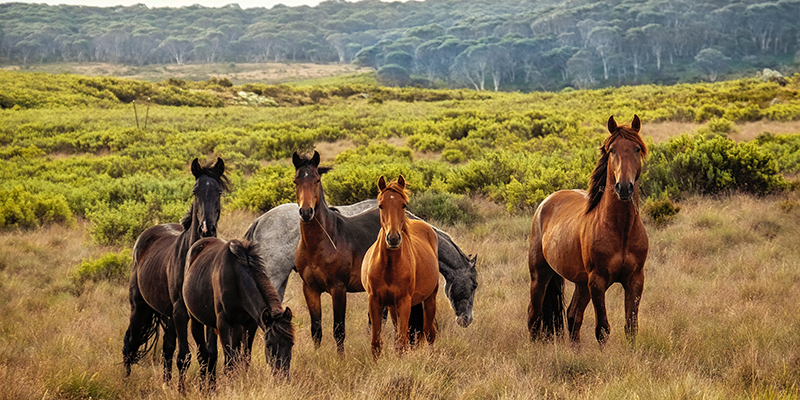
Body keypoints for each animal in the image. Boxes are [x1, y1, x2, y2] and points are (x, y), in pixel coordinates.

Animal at [183, 238, 296, 384]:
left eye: (291, 344)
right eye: (269, 345)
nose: (282, 378)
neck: (236, 278)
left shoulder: (250, 324)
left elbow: (244, 358)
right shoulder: (223, 324)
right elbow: (230, 361)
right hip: (196, 321)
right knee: (202, 355)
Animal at [290, 150, 384, 354]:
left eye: (317, 180)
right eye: (295, 181)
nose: (306, 212)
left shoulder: (338, 289)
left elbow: (339, 329)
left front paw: (341, 359)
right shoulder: (310, 289)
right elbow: (316, 329)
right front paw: (317, 356)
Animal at [360, 177, 438, 358]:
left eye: (403, 205)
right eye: (381, 205)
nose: (393, 238)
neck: (389, 266)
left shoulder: (404, 302)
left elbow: (402, 342)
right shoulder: (375, 301)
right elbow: (376, 343)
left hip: (430, 299)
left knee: (429, 332)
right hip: (392, 306)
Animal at [524, 114, 648, 346]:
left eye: (637, 149)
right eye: (612, 150)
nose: (624, 187)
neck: (621, 229)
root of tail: (546, 202)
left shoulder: (635, 280)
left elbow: (631, 327)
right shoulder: (597, 281)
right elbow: (603, 329)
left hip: (581, 283)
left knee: (573, 316)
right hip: (540, 275)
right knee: (533, 316)